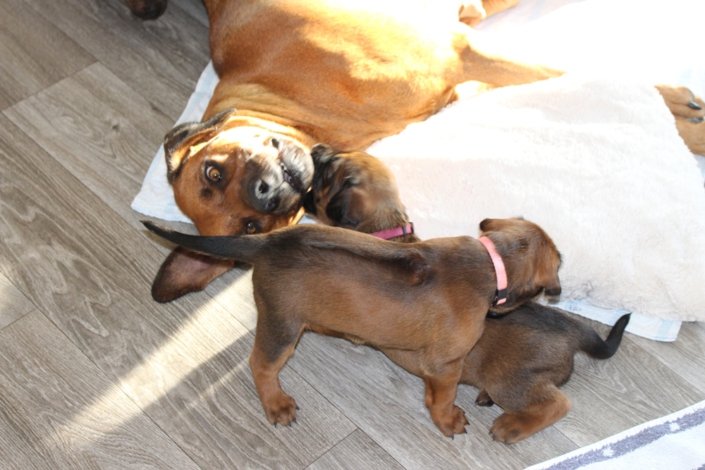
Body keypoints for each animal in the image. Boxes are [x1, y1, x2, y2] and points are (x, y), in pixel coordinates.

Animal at [132, 0, 705, 302]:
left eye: (212, 171)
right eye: (250, 228)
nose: (268, 195)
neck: (288, 98)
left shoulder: (455, 50)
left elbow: (566, 73)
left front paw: (677, 109)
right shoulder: (457, 75)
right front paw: (675, 116)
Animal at [143, 217, 562, 437]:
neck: (492, 261)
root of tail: (265, 242)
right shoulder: (444, 364)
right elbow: (443, 396)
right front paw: (447, 420)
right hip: (282, 325)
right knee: (260, 364)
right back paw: (276, 404)